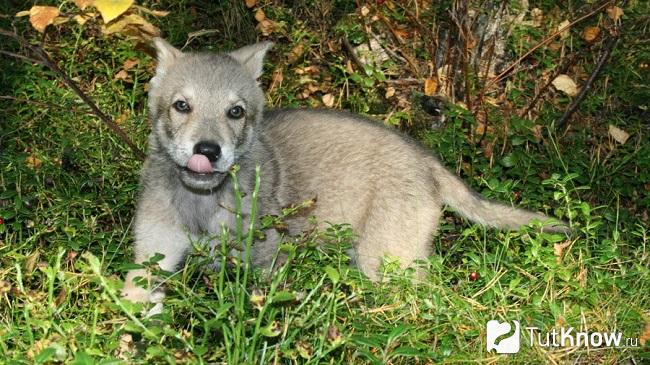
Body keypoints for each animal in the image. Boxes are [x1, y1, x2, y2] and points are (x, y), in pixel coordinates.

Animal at [123, 37, 568, 304]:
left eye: (236, 112)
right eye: (181, 106)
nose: (208, 151)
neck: (201, 203)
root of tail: (425, 158)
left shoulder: (266, 261)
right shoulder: (152, 253)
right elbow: (132, 298)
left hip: (386, 261)